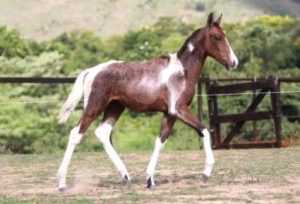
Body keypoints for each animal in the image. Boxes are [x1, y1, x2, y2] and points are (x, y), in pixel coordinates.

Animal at [57, 12, 238, 191]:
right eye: (217, 37)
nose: (234, 62)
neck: (182, 71)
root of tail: (91, 71)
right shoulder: (179, 110)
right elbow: (204, 130)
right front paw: (206, 173)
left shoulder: (169, 114)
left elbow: (160, 142)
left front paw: (150, 180)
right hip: (95, 106)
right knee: (76, 134)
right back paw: (62, 183)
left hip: (115, 107)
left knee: (103, 133)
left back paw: (126, 177)